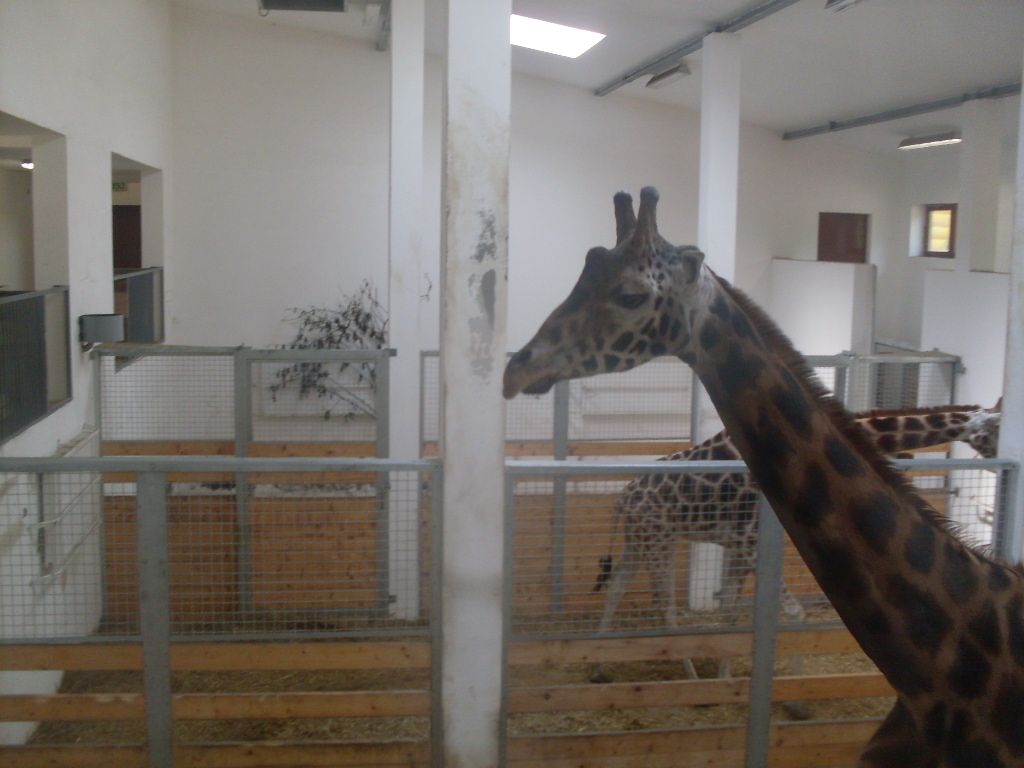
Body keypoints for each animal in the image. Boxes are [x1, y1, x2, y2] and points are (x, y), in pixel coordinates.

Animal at [590, 404, 1001, 691]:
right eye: (994, 430)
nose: (1002, 458)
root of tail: (623, 499)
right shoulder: (751, 539)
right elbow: (794, 613)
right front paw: (794, 692)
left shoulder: (740, 544)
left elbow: (732, 612)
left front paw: (727, 678)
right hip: (658, 540)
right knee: (666, 610)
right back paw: (687, 678)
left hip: (640, 540)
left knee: (617, 587)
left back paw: (599, 665)